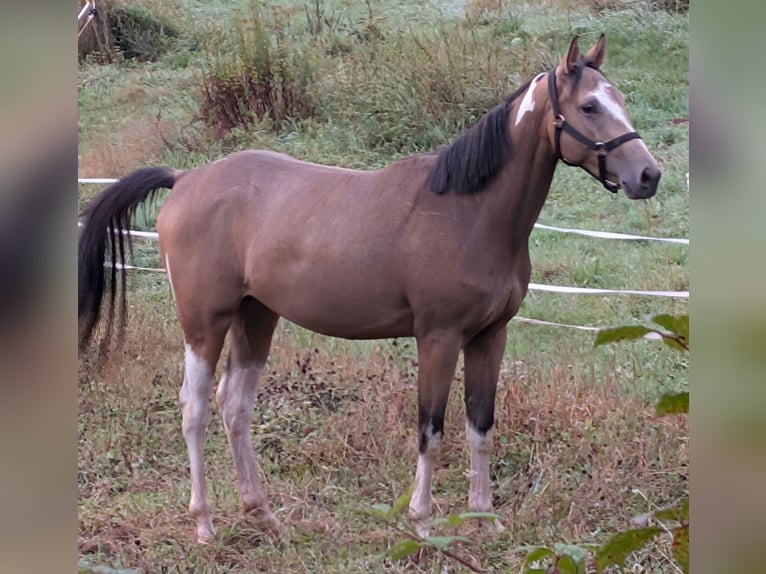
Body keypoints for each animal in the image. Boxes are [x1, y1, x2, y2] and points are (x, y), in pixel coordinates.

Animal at [78, 34, 660, 543]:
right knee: (194, 408)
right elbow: (431, 429)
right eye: (589, 106)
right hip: (205, 322)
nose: (649, 176)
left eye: (621, 100)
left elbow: (481, 428)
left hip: (256, 316)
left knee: (234, 406)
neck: (470, 211)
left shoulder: (490, 337)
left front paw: (485, 521)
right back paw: (204, 524)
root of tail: (185, 179)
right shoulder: (438, 337)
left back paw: (261, 513)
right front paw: (423, 523)